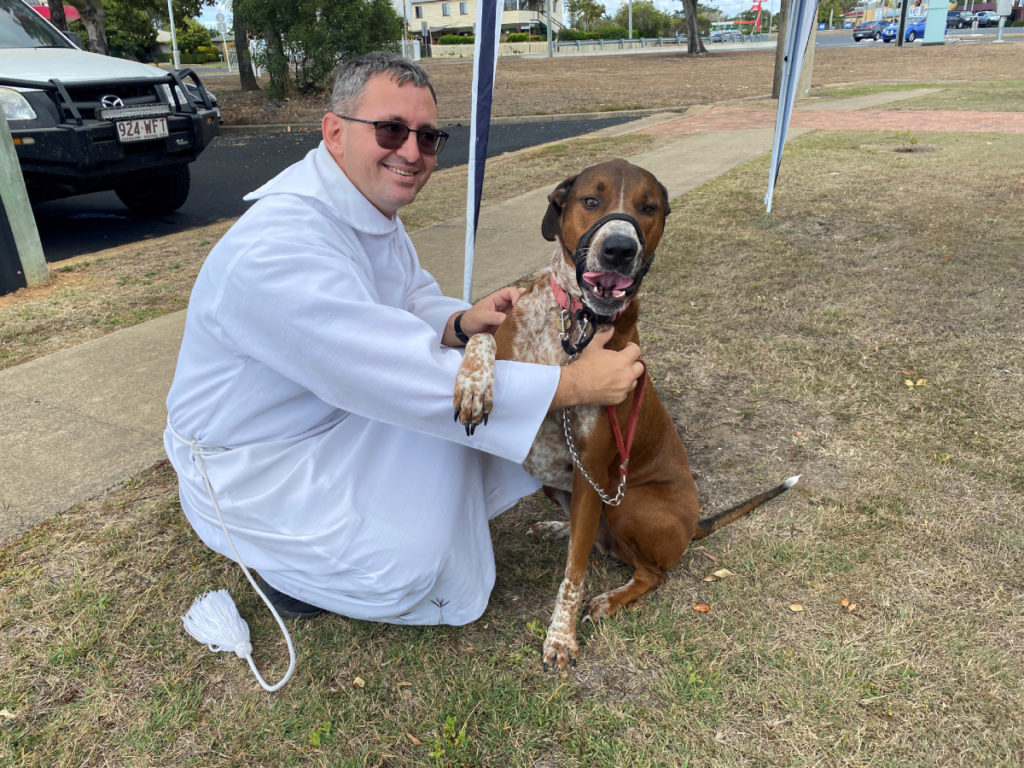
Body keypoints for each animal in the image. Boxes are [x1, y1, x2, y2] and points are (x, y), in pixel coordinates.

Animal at [456, 159, 798, 671]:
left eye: (649, 207)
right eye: (590, 200)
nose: (619, 248)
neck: (574, 323)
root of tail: (696, 525)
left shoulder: (593, 468)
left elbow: (574, 575)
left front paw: (561, 637)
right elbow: (481, 335)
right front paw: (473, 382)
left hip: (626, 504)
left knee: (649, 572)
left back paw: (610, 597)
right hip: (564, 488)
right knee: (591, 536)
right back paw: (559, 528)